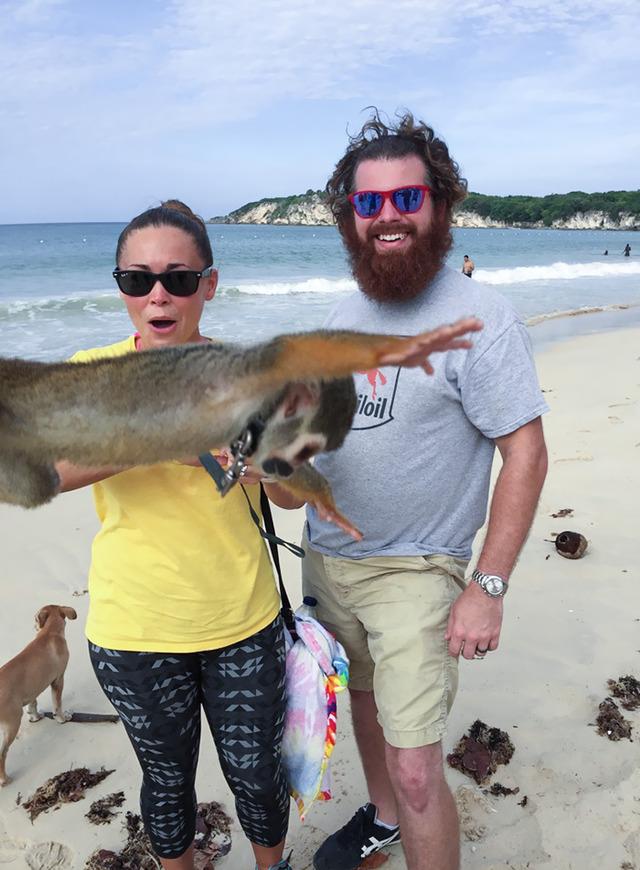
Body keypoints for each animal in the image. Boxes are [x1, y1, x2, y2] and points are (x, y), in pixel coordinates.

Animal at [0, 318, 481, 537]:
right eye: (305, 449)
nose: (285, 468)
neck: (257, 409)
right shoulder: (253, 375)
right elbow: (291, 349)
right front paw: (404, 346)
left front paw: (325, 502)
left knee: (40, 485)